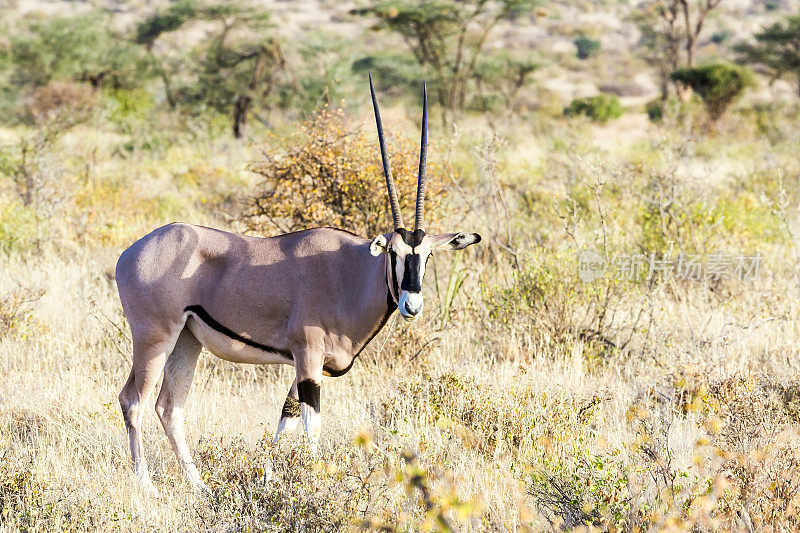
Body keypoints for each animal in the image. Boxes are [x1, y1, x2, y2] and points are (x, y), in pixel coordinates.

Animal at [115, 75, 482, 494]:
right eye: (393, 252)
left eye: (426, 255)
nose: (411, 305)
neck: (349, 271)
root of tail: (131, 252)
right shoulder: (308, 358)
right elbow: (311, 427)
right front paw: (314, 484)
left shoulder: (306, 366)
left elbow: (285, 420)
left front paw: (268, 481)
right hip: (154, 339)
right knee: (133, 401)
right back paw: (146, 487)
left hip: (187, 341)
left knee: (169, 407)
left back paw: (200, 488)